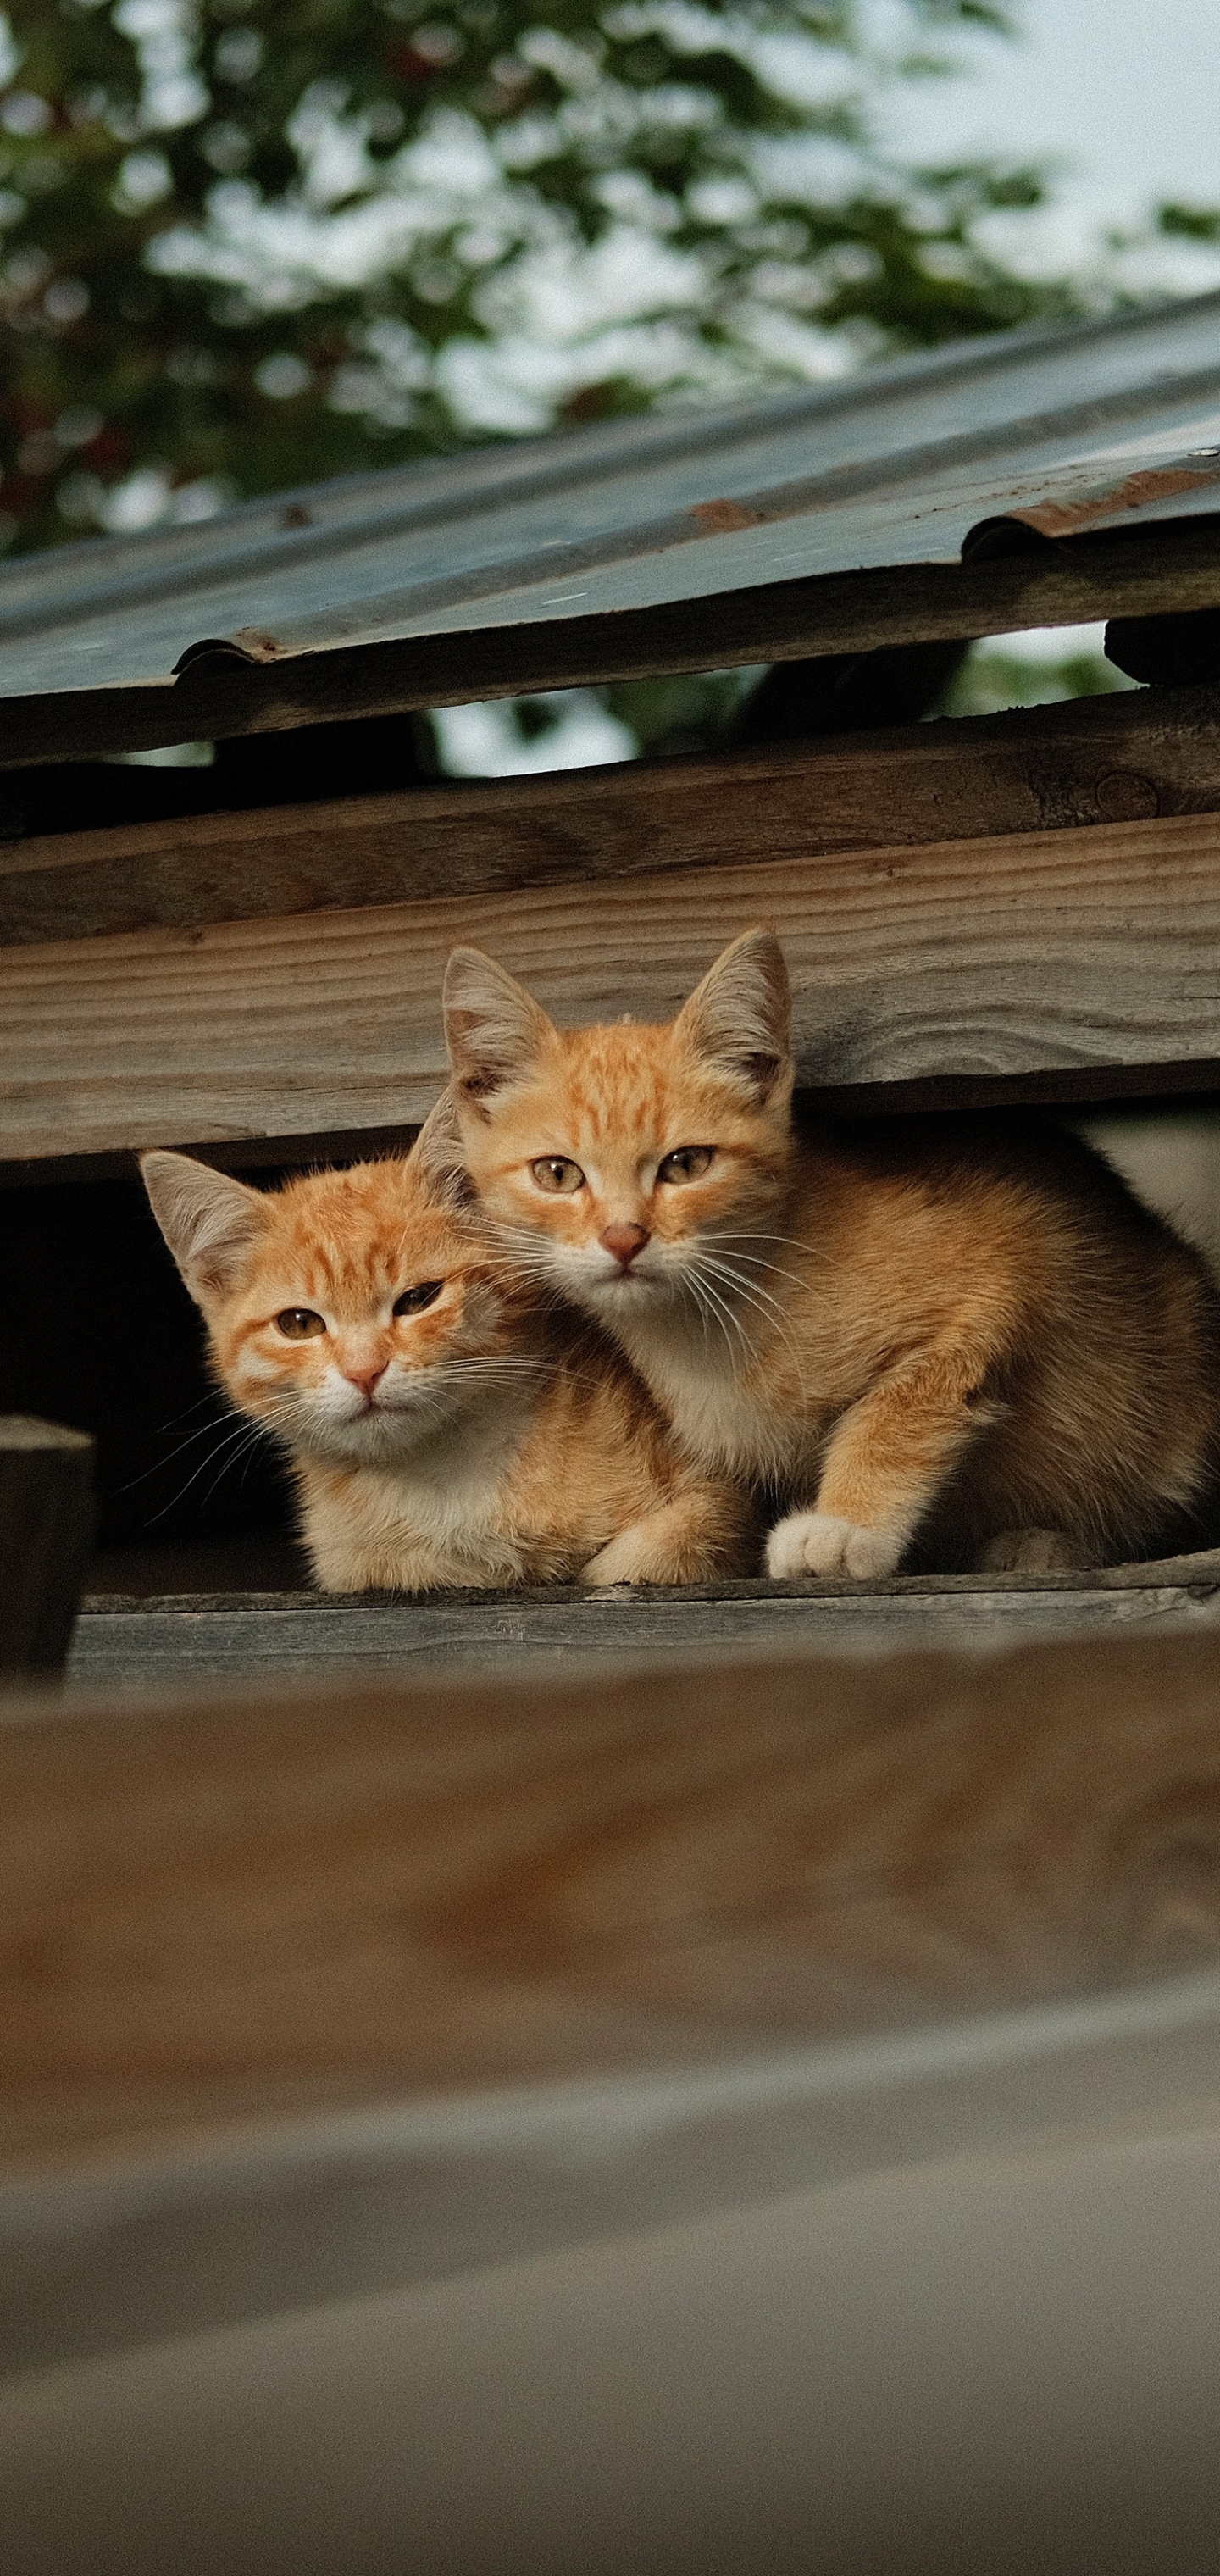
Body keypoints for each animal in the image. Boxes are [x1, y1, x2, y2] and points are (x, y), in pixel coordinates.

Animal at [140, 1128, 751, 1586]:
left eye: (418, 1299)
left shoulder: (717, 1493)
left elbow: (657, 1550)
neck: (444, 1485)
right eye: (299, 1324)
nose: (364, 1372)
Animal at [442, 927, 1220, 1566]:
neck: (705, 1332)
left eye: (686, 1165)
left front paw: (848, 1526)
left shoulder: (1007, 1266)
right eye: (557, 1174)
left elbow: (896, 1409)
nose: (624, 1237)